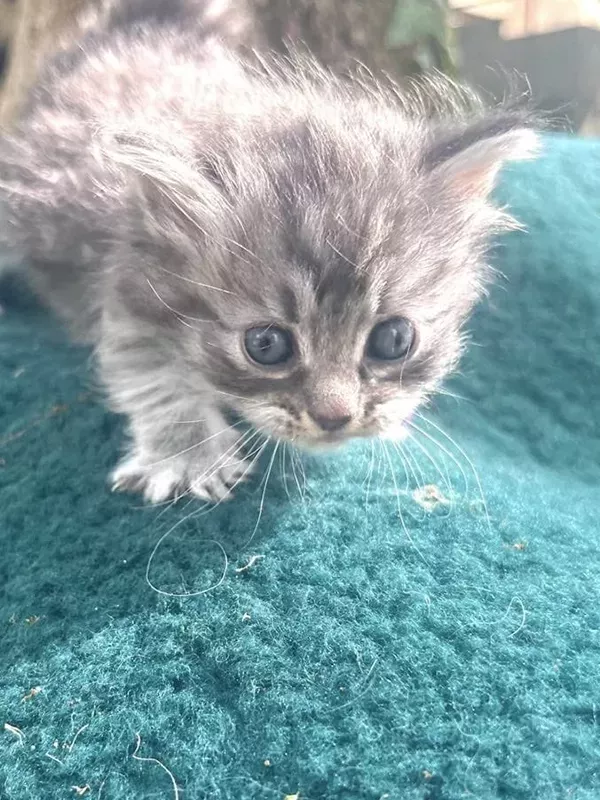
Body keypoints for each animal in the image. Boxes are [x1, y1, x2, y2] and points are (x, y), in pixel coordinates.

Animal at [0, 0, 536, 500]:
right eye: (266, 346)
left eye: (394, 339)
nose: (335, 417)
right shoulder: (126, 290)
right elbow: (152, 376)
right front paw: (187, 455)